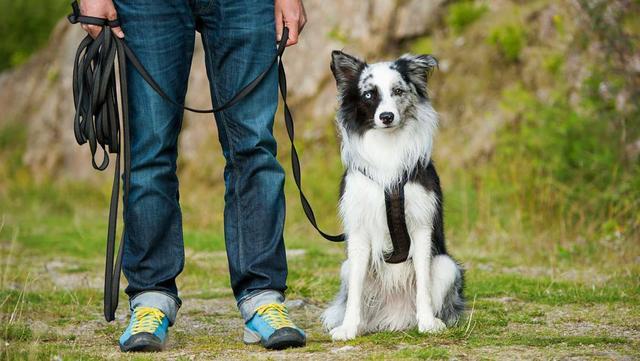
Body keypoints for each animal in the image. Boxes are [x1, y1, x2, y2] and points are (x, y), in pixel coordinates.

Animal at [320, 51, 464, 340]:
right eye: (368, 95)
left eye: (398, 91)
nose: (386, 116)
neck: (387, 146)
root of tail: (395, 316)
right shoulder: (359, 230)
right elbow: (355, 292)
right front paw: (348, 328)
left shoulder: (421, 226)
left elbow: (423, 282)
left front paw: (427, 323)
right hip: (346, 267)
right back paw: (361, 324)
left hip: (447, 266)